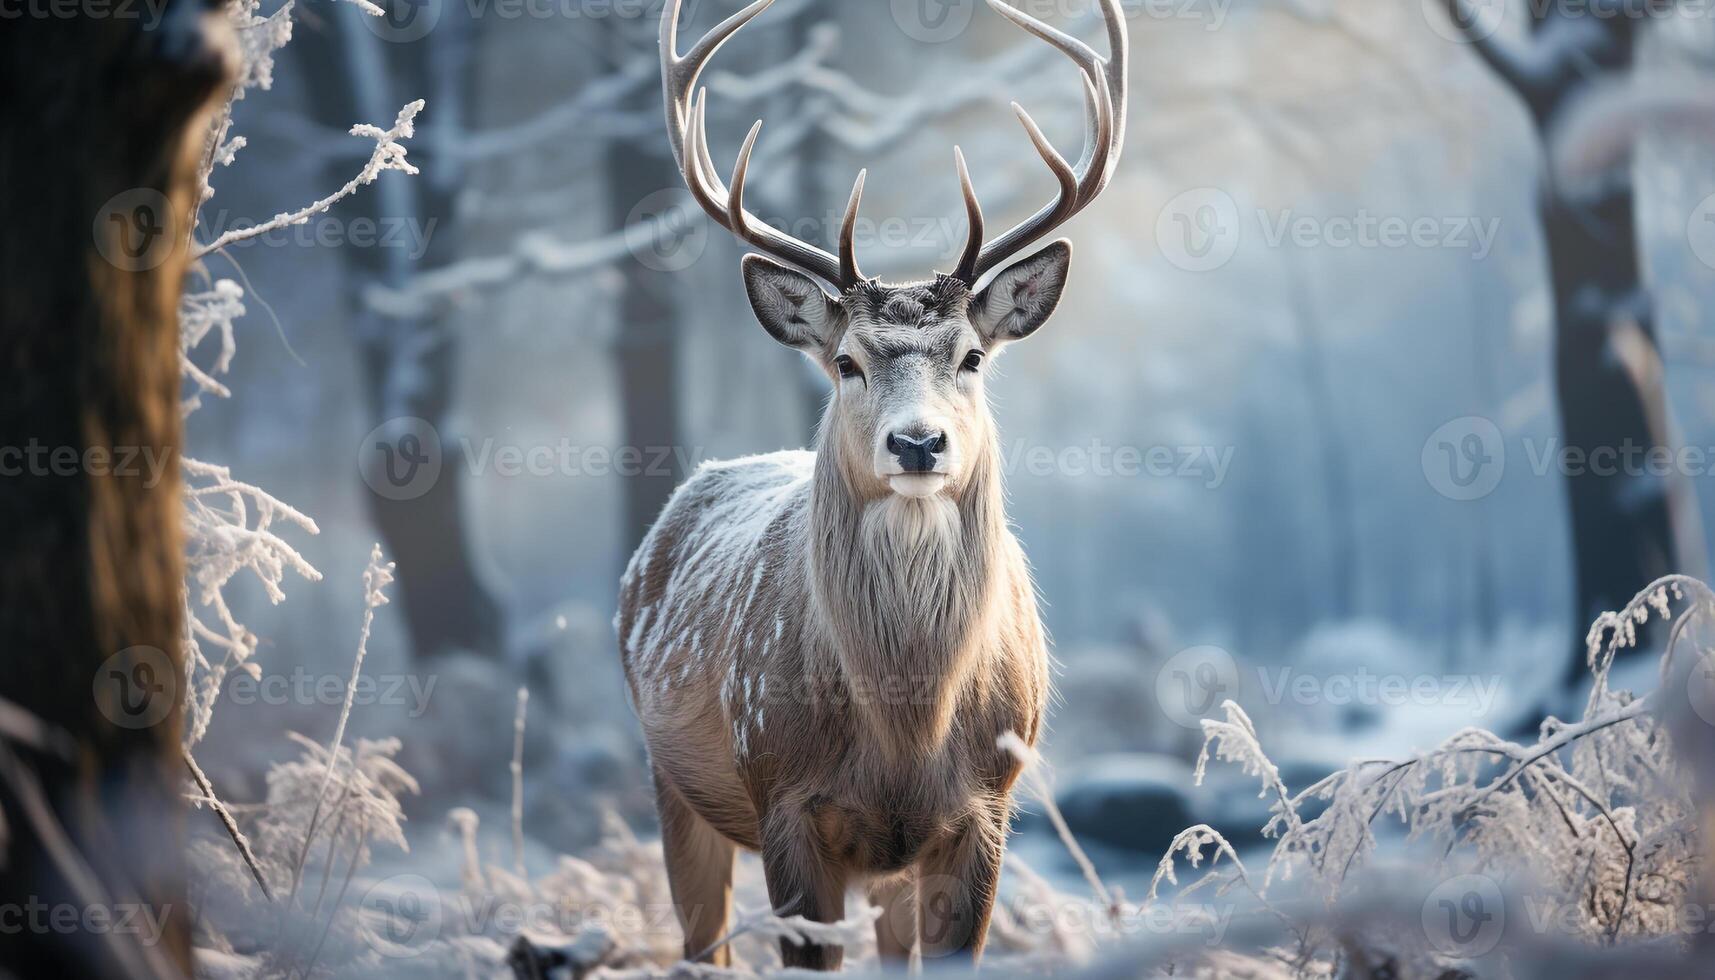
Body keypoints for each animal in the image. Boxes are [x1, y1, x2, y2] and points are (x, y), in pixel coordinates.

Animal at [617, 0, 1125, 967]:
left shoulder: (988, 808)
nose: (917, 442)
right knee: (702, 946)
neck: (904, 731)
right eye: (846, 362)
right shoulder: (782, 798)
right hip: (669, 779)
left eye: (971, 356)